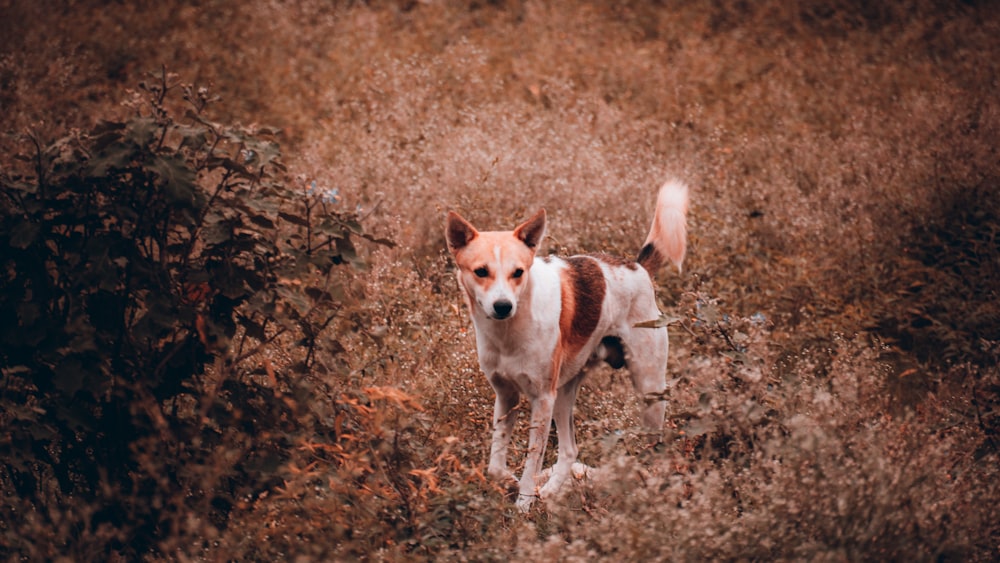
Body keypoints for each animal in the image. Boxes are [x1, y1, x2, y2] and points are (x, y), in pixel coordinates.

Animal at [446, 180, 688, 512]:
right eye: (481, 271)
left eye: (518, 272)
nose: (503, 306)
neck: (510, 330)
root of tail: (637, 267)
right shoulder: (506, 396)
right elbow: (495, 464)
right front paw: (510, 481)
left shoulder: (541, 400)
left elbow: (532, 460)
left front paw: (523, 504)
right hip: (564, 393)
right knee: (570, 450)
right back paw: (550, 490)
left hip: (647, 389)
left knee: (656, 449)